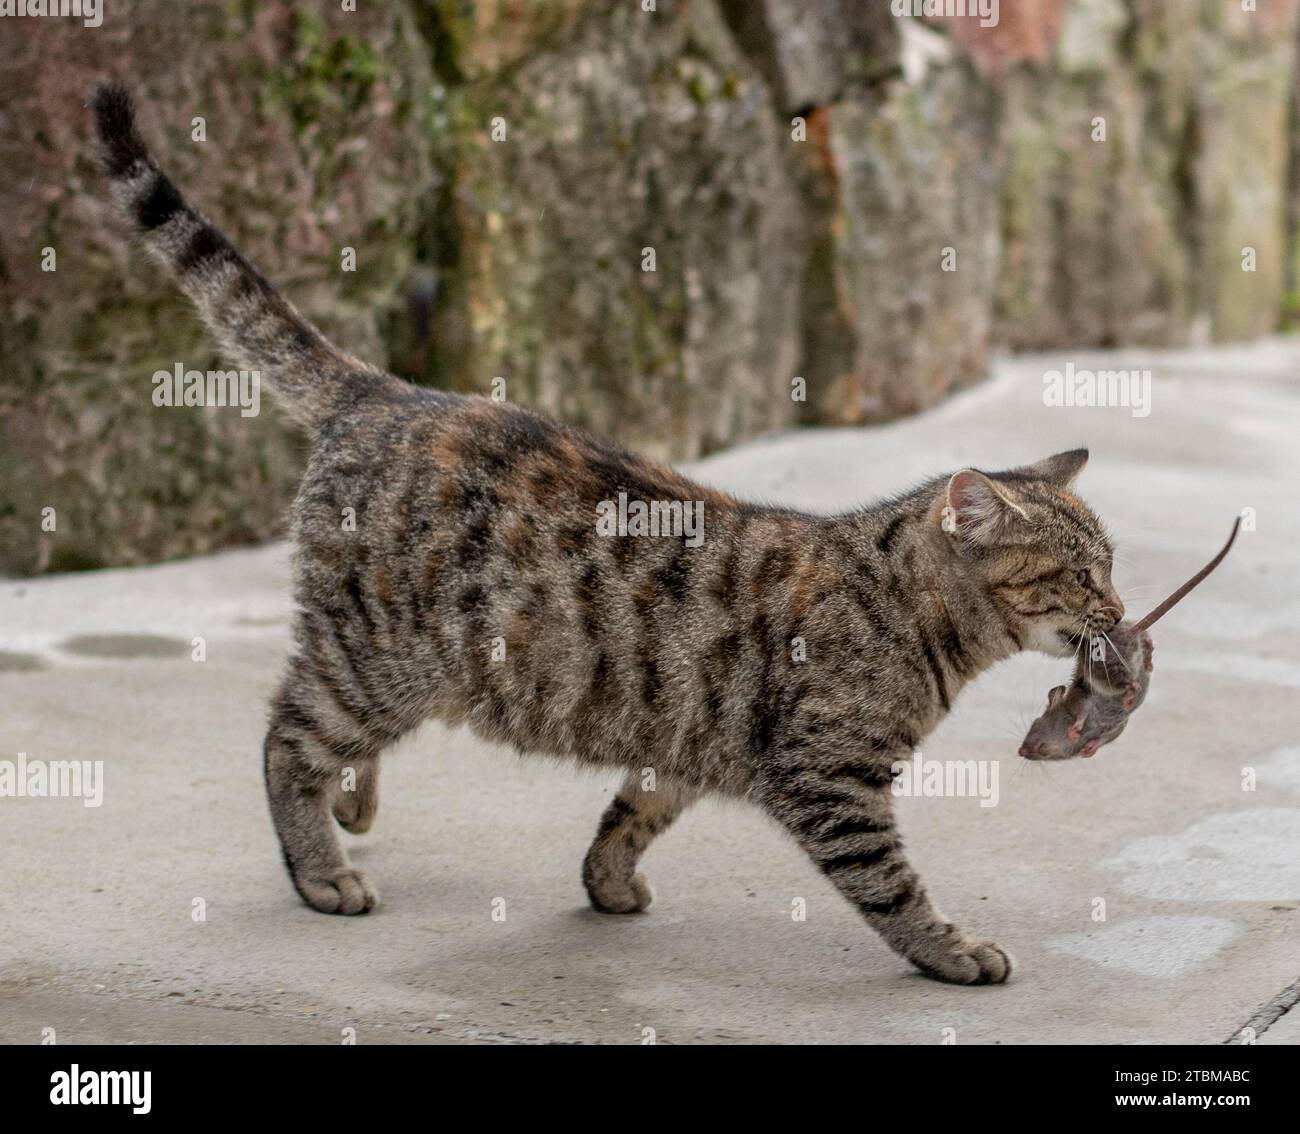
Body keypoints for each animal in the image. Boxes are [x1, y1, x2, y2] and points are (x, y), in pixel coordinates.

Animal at [94, 81, 1128, 983]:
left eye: (1112, 569)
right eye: (1082, 577)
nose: (1121, 612)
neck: (907, 613)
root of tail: (382, 389)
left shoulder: (686, 737)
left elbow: (632, 813)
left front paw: (607, 882)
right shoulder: (830, 780)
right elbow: (892, 885)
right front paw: (953, 952)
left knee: (321, 736)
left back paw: (355, 806)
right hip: (378, 659)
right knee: (286, 738)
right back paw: (321, 872)